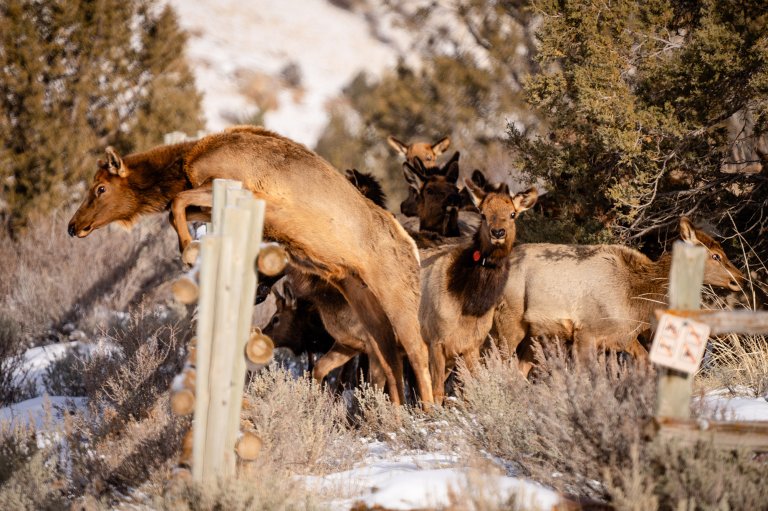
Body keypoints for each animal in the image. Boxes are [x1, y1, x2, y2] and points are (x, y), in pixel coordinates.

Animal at [67, 125, 434, 406]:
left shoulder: (239, 187)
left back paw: (427, 411)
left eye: (100, 188)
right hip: (363, 300)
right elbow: (179, 208)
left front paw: (188, 250)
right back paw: (394, 414)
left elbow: (175, 204)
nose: (73, 226)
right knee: (388, 357)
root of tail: (411, 246)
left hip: (396, 293)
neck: (182, 167)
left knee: (417, 350)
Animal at [420, 180, 537, 404]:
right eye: (483, 213)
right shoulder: (435, 341)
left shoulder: (471, 346)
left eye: (512, 214)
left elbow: (471, 388)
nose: (498, 232)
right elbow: (436, 393)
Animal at [493, 217, 746, 376]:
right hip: (508, 321)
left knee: (519, 371)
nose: (739, 278)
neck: (637, 299)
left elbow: (645, 362)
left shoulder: (622, 337)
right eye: (716, 256)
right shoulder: (586, 332)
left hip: (532, 334)